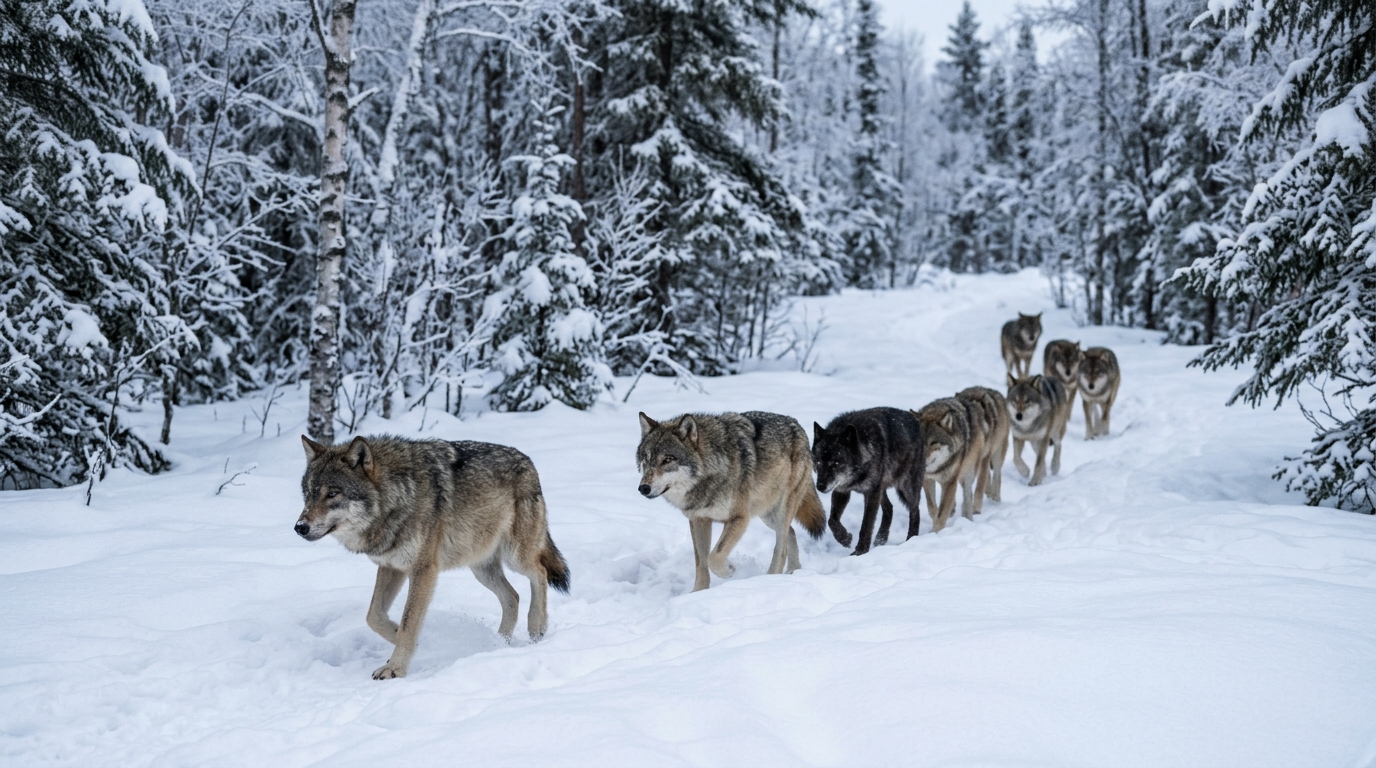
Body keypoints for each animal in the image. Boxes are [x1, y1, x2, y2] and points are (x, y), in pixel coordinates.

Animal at [296, 435, 570, 680]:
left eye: (333, 493)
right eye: (308, 494)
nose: (300, 527)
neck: (398, 495)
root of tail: (529, 462)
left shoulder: (423, 570)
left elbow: (408, 623)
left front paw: (395, 668)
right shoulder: (391, 566)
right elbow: (374, 616)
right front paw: (405, 641)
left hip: (516, 556)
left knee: (540, 572)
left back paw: (537, 626)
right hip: (481, 569)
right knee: (513, 597)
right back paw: (497, 643)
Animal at [637, 411, 826, 592]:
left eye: (667, 460)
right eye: (645, 460)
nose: (643, 488)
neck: (712, 468)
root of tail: (796, 424)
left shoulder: (740, 518)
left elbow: (713, 557)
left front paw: (729, 570)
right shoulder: (698, 520)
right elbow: (701, 564)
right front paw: (697, 594)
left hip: (780, 511)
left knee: (781, 547)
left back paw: (769, 580)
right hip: (767, 514)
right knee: (790, 532)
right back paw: (794, 570)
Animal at [811, 408, 925, 554]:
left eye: (836, 463)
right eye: (819, 462)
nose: (820, 486)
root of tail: (915, 419)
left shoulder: (871, 493)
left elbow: (866, 525)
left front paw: (860, 551)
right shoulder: (842, 489)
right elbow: (832, 520)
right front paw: (845, 538)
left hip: (907, 488)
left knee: (915, 511)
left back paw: (911, 539)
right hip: (882, 488)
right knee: (889, 508)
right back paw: (881, 538)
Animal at [912, 397, 984, 533]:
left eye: (933, 443)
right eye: (921, 441)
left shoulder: (949, 482)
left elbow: (942, 512)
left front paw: (935, 532)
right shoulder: (926, 479)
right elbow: (932, 508)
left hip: (967, 474)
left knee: (967, 499)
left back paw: (968, 521)